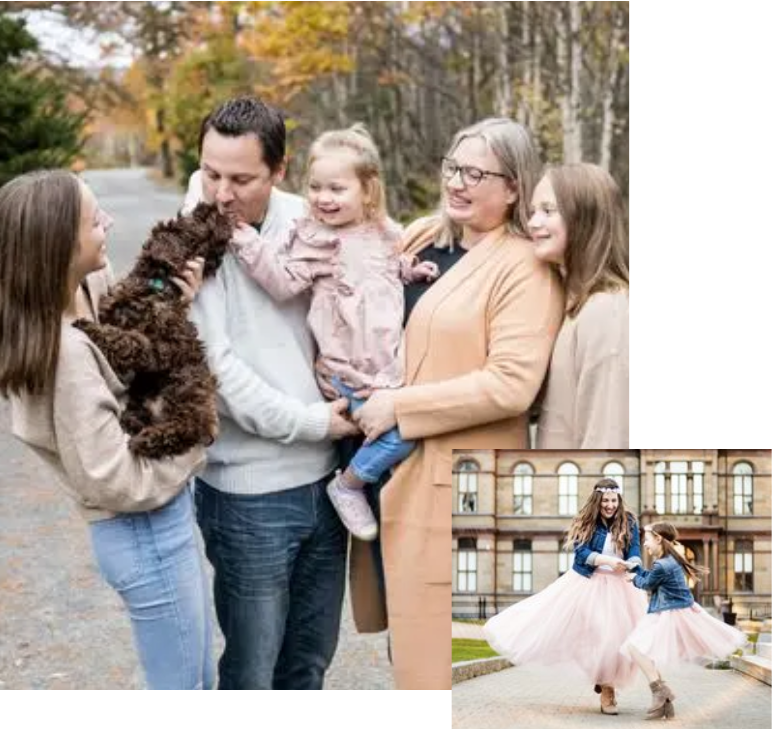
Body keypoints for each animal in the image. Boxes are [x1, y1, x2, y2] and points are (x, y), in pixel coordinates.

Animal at [75, 202, 232, 458]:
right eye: (195, 219)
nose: (215, 206)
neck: (156, 285)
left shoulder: (163, 348)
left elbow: (131, 341)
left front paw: (90, 328)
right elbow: (124, 334)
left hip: (187, 388)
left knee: (187, 428)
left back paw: (146, 440)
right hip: (146, 394)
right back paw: (133, 423)